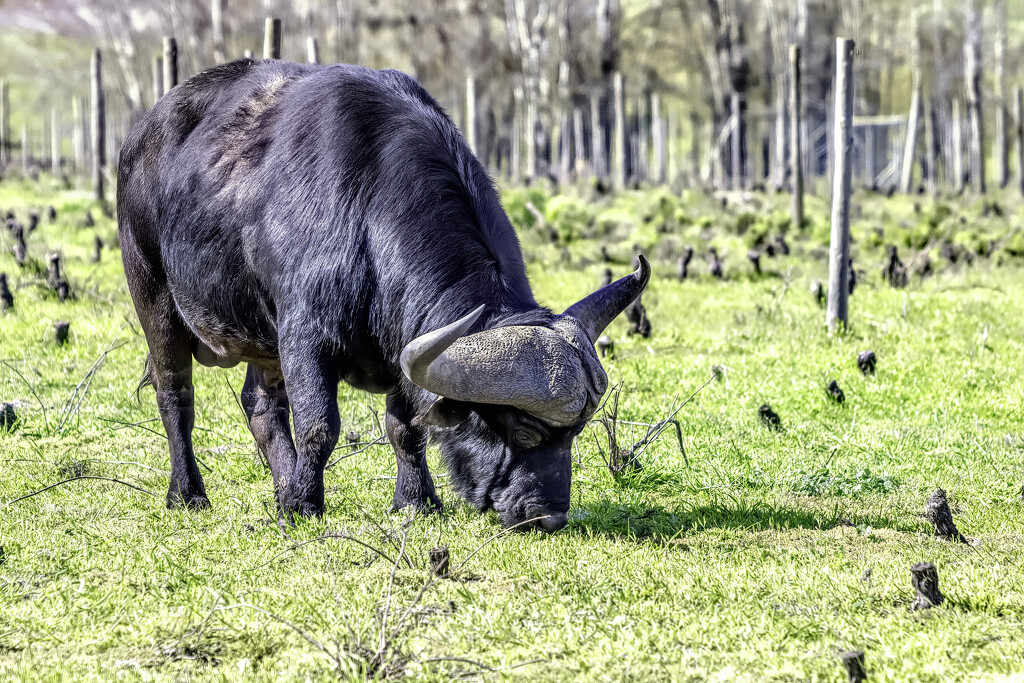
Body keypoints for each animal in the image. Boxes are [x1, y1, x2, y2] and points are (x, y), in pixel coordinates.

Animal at [117, 60, 647, 532]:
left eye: (575, 433)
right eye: (523, 429)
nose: (549, 516)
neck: (367, 215)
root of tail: (141, 135)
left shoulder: (399, 342)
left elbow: (405, 427)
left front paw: (415, 501)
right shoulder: (304, 336)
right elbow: (319, 426)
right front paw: (304, 507)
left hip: (261, 337)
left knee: (260, 405)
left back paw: (282, 486)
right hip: (153, 294)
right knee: (175, 394)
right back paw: (189, 493)